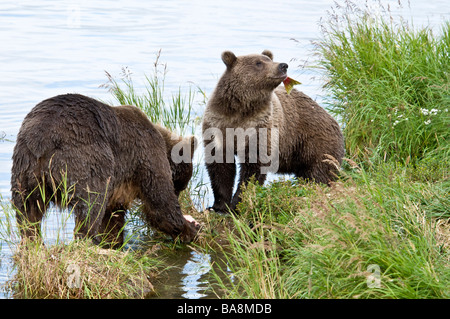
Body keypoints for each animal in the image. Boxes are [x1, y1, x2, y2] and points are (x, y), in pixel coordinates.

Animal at [11, 93, 199, 248]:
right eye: (180, 185)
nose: (179, 194)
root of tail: (42, 139)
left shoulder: (121, 184)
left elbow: (112, 216)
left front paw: (112, 242)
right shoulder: (146, 154)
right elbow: (160, 203)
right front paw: (191, 229)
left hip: (26, 169)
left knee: (28, 210)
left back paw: (33, 243)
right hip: (87, 158)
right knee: (91, 204)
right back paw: (89, 241)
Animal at [202, 50, 346, 215]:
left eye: (269, 59)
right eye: (258, 63)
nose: (283, 65)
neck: (241, 109)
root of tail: (334, 120)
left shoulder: (261, 128)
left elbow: (253, 168)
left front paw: (238, 203)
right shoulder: (217, 124)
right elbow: (220, 166)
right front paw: (219, 206)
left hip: (316, 143)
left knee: (320, 172)